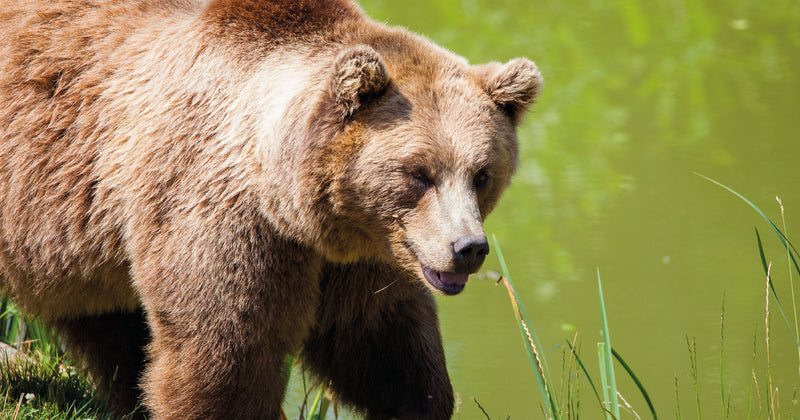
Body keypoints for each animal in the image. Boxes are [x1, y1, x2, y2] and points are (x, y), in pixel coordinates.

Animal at [0, 0, 544, 420]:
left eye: (482, 173)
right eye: (418, 173)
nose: (468, 248)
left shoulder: (362, 256)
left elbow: (383, 344)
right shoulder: (218, 212)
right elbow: (225, 353)